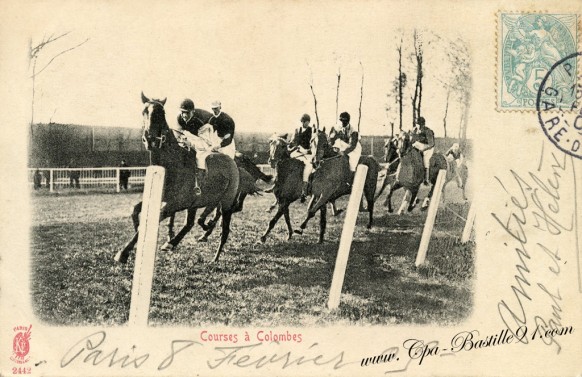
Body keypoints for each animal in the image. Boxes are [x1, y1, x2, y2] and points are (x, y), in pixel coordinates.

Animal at [114, 93, 240, 262]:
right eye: (144, 112)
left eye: (162, 113)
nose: (150, 139)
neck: (171, 164)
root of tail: (232, 161)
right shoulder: (164, 198)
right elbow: (134, 210)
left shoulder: (175, 203)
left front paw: (123, 252)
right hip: (197, 202)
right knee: (190, 223)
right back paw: (173, 242)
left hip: (227, 201)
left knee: (224, 228)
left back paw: (215, 255)